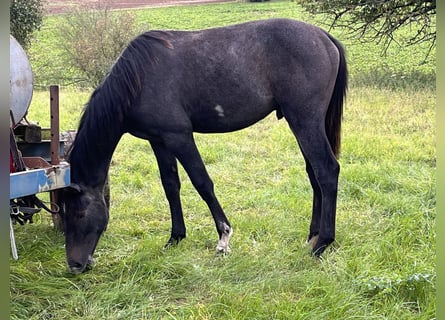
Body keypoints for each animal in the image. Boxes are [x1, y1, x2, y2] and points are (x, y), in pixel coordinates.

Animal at [59, 18, 346, 272]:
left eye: (80, 213)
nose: (75, 265)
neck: (138, 80)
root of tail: (323, 37)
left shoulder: (180, 137)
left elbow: (202, 183)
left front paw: (224, 238)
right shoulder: (159, 141)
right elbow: (170, 186)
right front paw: (175, 237)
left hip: (305, 121)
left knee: (326, 171)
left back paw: (322, 243)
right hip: (303, 124)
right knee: (314, 174)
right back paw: (313, 235)